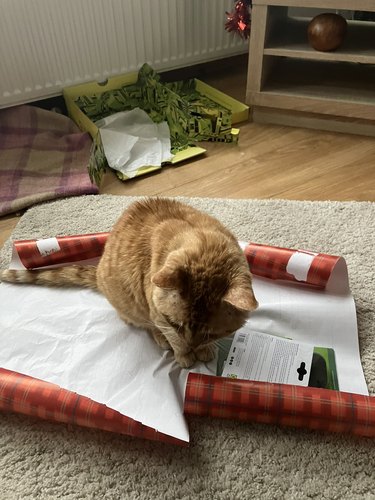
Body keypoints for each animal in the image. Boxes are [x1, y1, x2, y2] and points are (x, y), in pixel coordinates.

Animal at [1, 198, 258, 368]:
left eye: (210, 333)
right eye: (175, 324)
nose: (192, 346)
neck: (206, 247)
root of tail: (98, 269)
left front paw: (203, 349)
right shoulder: (158, 316)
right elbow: (173, 339)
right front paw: (184, 355)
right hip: (131, 307)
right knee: (144, 324)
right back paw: (160, 338)